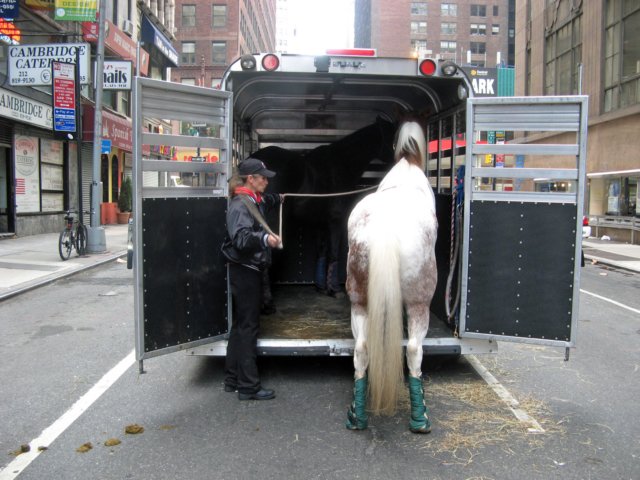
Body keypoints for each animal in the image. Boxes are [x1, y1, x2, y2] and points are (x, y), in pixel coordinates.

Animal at [254, 117, 396, 296]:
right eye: (393, 138)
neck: (342, 163)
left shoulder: (320, 222)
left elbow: (321, 252)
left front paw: (321, 286)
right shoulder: (335, 219)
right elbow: (333, 252)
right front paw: (334, 289)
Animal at [348, 121, 438, 436]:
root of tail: (386, 222)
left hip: (359, 303)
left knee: (361, 348)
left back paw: (357, 416)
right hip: (420, 305)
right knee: (413, 350)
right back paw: (420, 418)